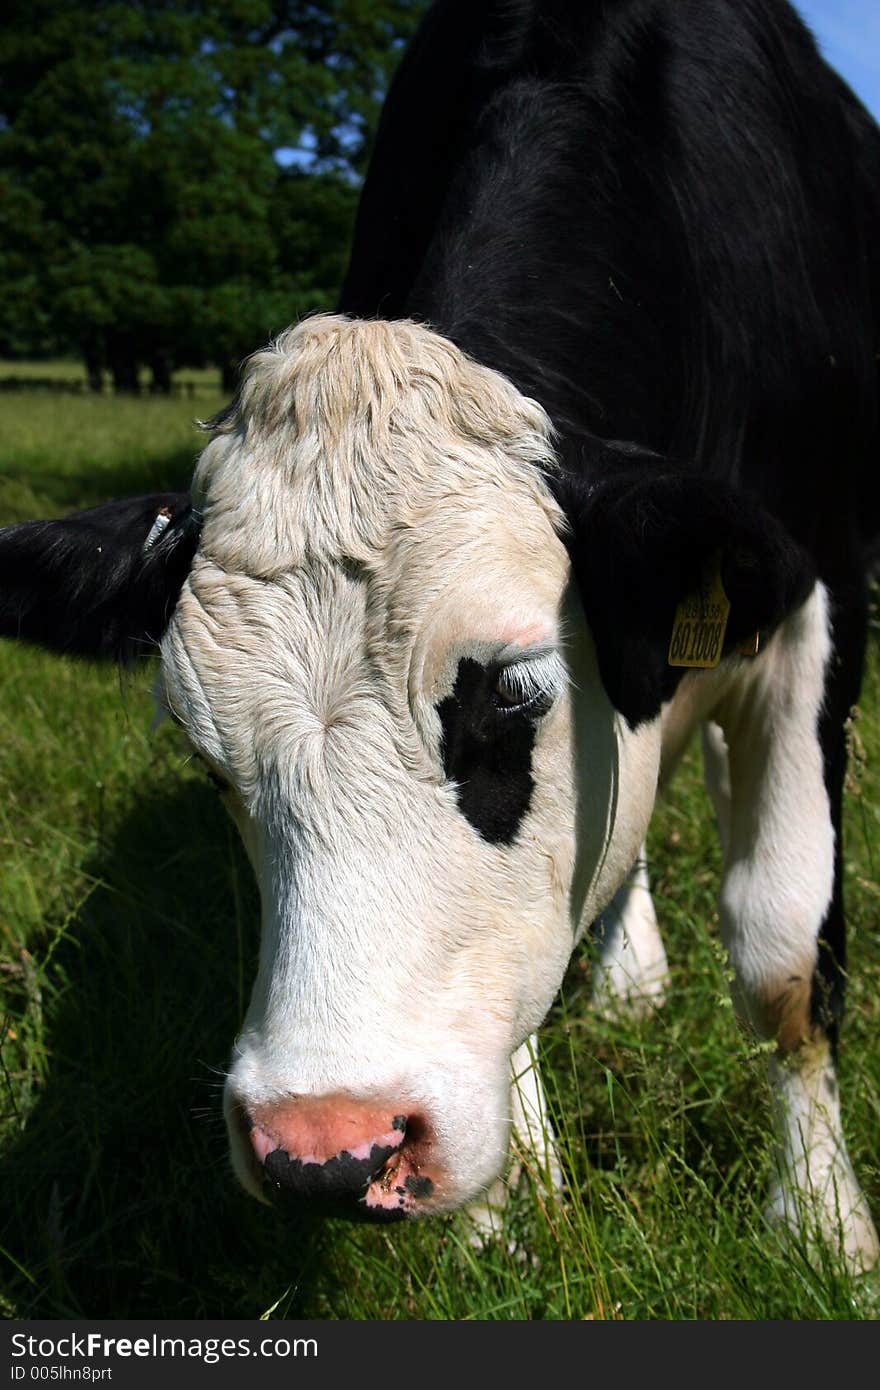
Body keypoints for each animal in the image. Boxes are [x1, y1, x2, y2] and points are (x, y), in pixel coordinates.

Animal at [1, 0, 878, 1273]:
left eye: (512, 697)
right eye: (208, 761)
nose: (326, 1147)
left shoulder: (817, 600)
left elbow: (781, 952)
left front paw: (820, 1219)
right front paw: (509, 1205)